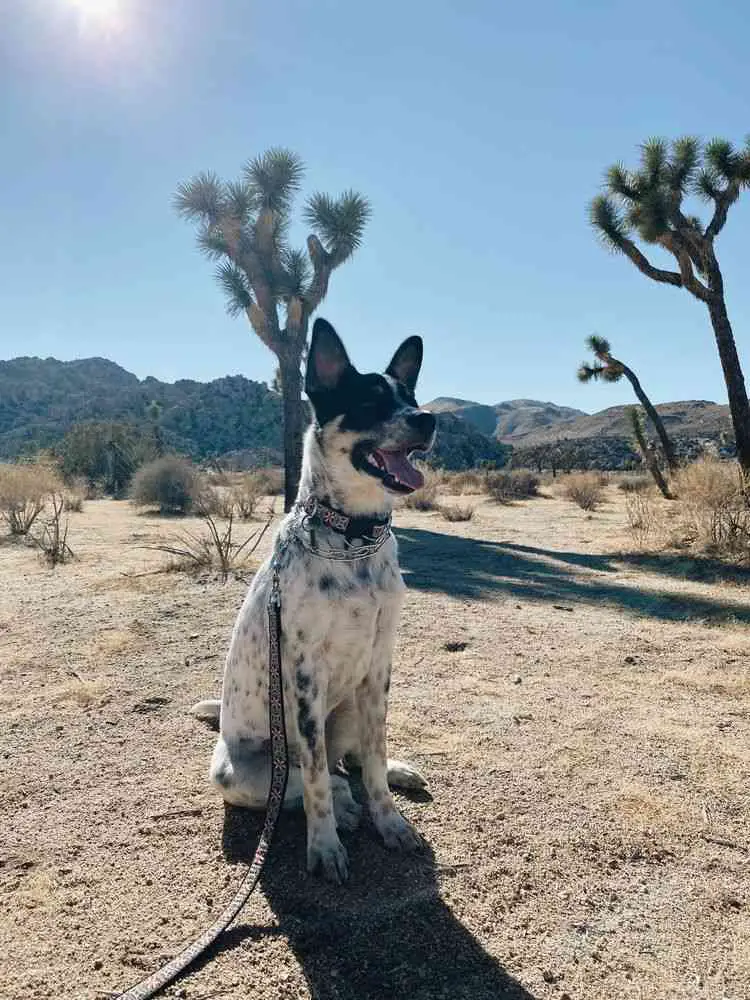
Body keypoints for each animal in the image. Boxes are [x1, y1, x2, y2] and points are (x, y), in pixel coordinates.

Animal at [194, 316, 438, 880]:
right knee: (309, 783)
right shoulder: (305, 676)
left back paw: (392, 775)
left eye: (411, 396)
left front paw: (390, 821)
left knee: (352, 761)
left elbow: (374, 757)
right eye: (370, 402)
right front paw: (325, 846)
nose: (430, 419)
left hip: (347, 708)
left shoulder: (379, 664)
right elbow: (317, 784)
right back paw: (343, 808)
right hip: (239, 770)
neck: (354, 538)